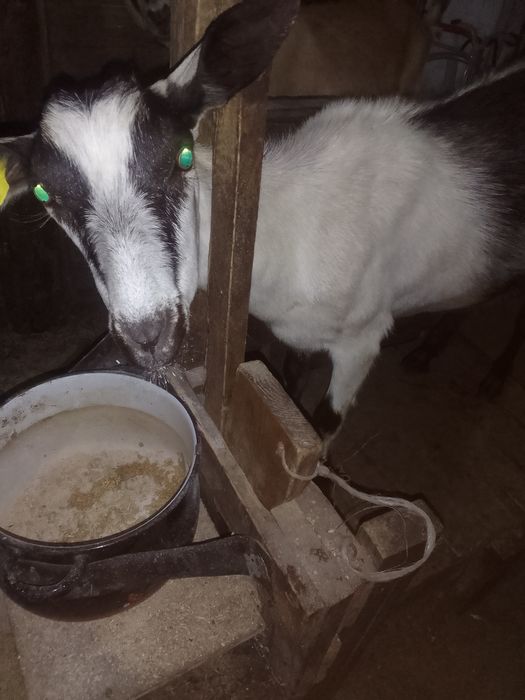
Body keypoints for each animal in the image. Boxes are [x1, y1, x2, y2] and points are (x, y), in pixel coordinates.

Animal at [1, 0, 525, 440]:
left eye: (183, 156)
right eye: (46, 194)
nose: (149, 336)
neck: (289, 229)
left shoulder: (362, 339)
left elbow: (321, 427)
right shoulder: (299, 341)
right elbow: (290, 382)